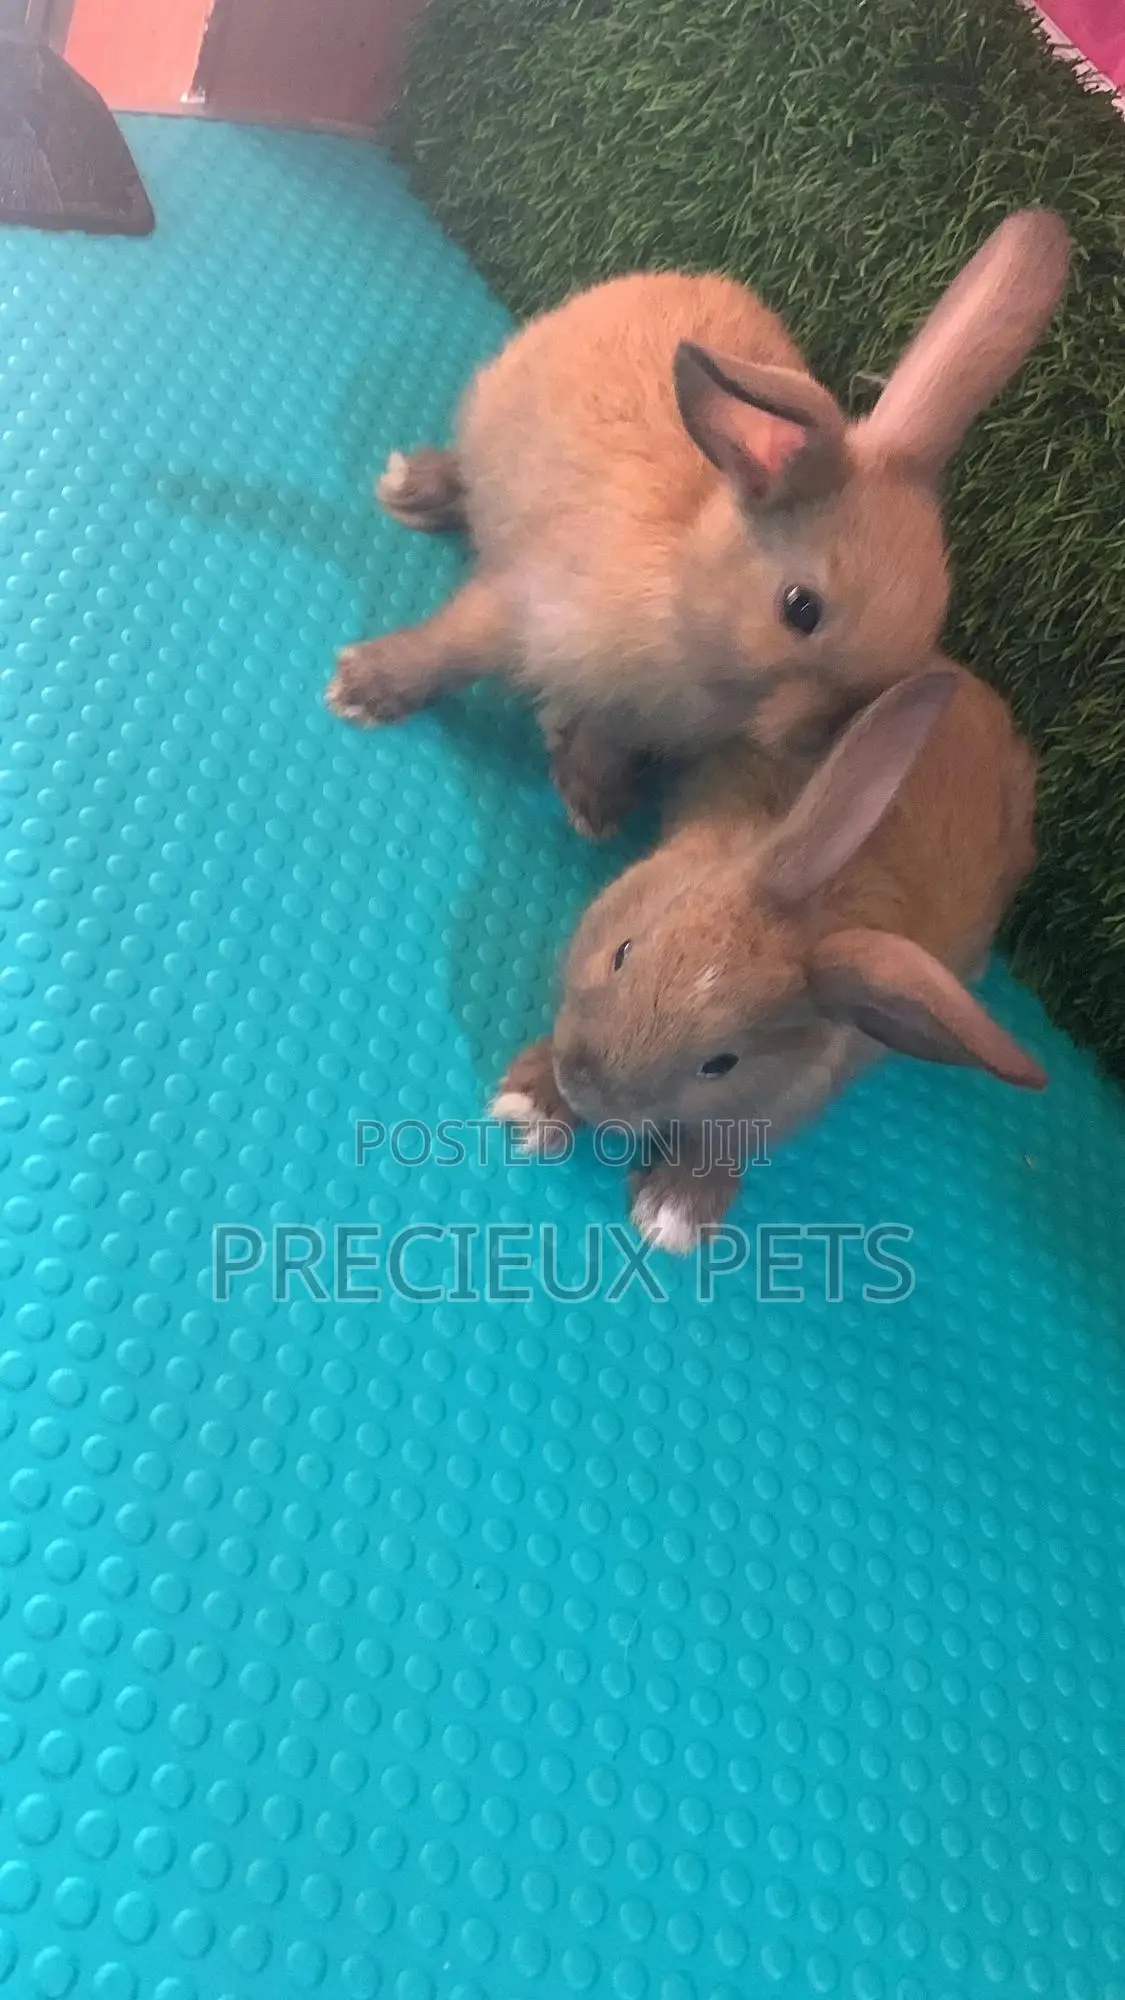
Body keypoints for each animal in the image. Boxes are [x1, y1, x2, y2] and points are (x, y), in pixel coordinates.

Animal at [326, 211, 1068, 836]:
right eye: (800, 608)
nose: (818, 741)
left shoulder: (629, 719)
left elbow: (603, 740)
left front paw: (594, 803)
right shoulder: (524, 609)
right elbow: (453, 649)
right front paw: (362, 689)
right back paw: (412, 489)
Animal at [491, 659, 1046, 1251]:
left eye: (721, 1065)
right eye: (623, 952)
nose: (583, 1086)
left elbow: (721, 1149)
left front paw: (674, 1215)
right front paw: (531, 1105)